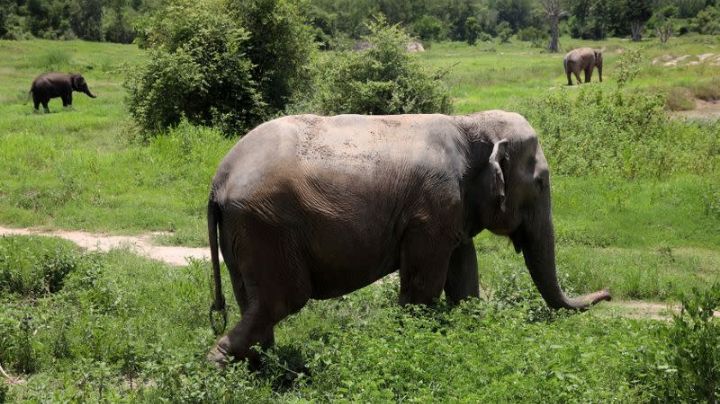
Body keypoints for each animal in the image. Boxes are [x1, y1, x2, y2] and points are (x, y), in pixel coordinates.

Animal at [206, 111, 611, 367]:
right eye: (540, 183)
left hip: (245, 233)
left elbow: (464, 276)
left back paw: (260, 368)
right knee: (282, 300)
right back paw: (220, 367)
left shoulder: (454, 209)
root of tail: (218, 181)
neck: (470, 122)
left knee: (253, 302)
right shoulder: (432, 209)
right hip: (268, 227)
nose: (607, 294)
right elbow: (423, 288)